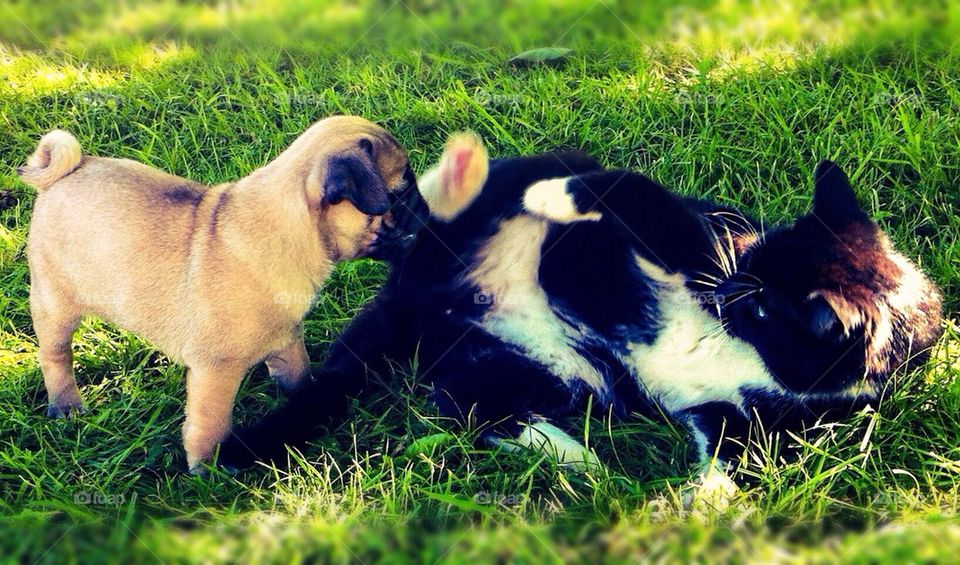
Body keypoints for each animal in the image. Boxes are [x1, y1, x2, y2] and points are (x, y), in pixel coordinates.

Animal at [19, 115, 428, 472]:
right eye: (401, 194)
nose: (425, 211)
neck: (291, 230)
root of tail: (68, 172)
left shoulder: (286, 340)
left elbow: (297, 376)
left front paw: (304, 400)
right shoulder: (216, 371)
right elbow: (209, 425)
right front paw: (208, 471)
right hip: (55, 303)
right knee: (55, 356)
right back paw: (66, 405)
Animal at [216, 133, 936, 472]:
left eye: (762, 311)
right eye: (751, 256)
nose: (727, 290)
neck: (742, 352)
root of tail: (426, 302)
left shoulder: (746, 421)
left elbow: (730, 466)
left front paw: (701, 508)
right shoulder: (686, 238)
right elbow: (635, 191)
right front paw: (558, 199)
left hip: (530, 367)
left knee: (472, 406)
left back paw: (578, 457)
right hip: (469, 226)